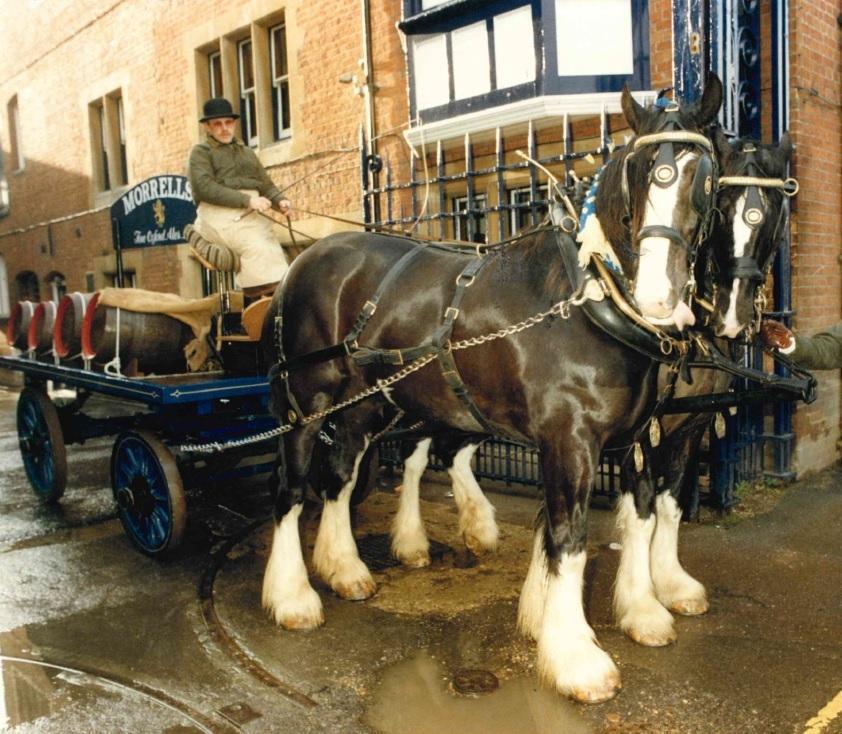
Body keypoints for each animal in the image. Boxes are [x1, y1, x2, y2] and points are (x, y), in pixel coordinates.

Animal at [260, 76, 720, 708]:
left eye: (707, 179)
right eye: (639, 170)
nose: (658, 297)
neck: (590, 301)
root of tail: (303, 257)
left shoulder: (632, 439)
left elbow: (640, 515)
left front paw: (641, 610)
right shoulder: (570, 441)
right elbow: (570, 537)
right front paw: (574, 656)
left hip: (366, 405)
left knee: (339, 478)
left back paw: (344, 569)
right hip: (307, 402)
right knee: (290, 489)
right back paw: (293, 597)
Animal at [612, 135, 796, 648]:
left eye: (772, 213)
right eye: (721, 206)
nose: (732, 315)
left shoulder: (689, 428)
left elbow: (671, 504)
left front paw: (673, 585)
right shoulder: (640, 436)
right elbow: (641, 511)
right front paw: (642, 609)